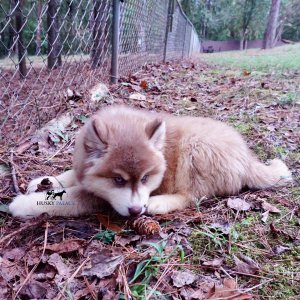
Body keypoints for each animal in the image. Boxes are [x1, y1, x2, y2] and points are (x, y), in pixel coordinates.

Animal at [9, 106, 292, 218]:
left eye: (145, 178)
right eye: (118, 180)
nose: (136, 211)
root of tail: (248, 158)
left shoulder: (100, 199)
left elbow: (72, 196)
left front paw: (23, 203)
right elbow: (69, 175)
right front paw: (42, 181)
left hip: (195, 148)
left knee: (193, 196)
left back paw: (159, 203)